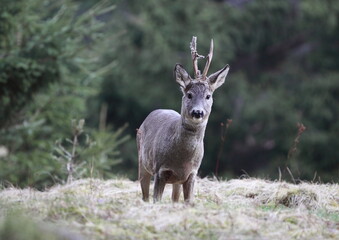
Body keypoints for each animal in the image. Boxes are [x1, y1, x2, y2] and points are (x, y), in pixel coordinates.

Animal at [137, 36, 230, 203]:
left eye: (208, 96)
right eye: (189, 94)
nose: (198, 112)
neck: (182, 160)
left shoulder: (192, 174)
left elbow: (188, 201)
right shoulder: (160, 170)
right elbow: (156, 199)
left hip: (176, 181)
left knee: (174, 198)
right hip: (143, 162)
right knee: (145, 195)